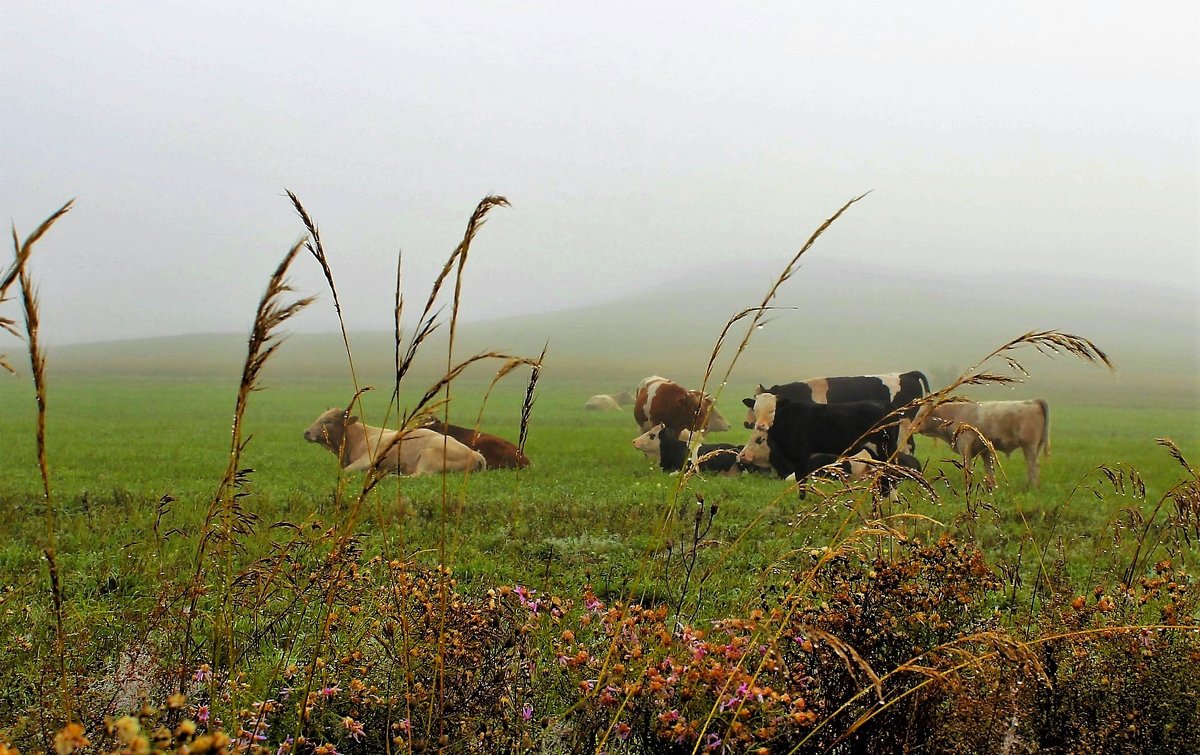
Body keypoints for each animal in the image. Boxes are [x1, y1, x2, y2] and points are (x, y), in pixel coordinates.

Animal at [304, 408, 487, 472]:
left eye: (328, 421)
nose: (306, 432)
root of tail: (476, 454)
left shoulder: (369, 459)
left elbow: (347, 471)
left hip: (429, 456)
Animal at [916, 398, 1051, 484]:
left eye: (922, 415)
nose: (913, 426)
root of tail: (1034, 401)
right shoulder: (985, 450)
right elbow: (989, 469)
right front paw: (991, 487)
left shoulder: (964, 446)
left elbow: (967, 467)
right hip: (1035, 447)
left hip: (1029, 446)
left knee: (1034, 465)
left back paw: (1032, 486)